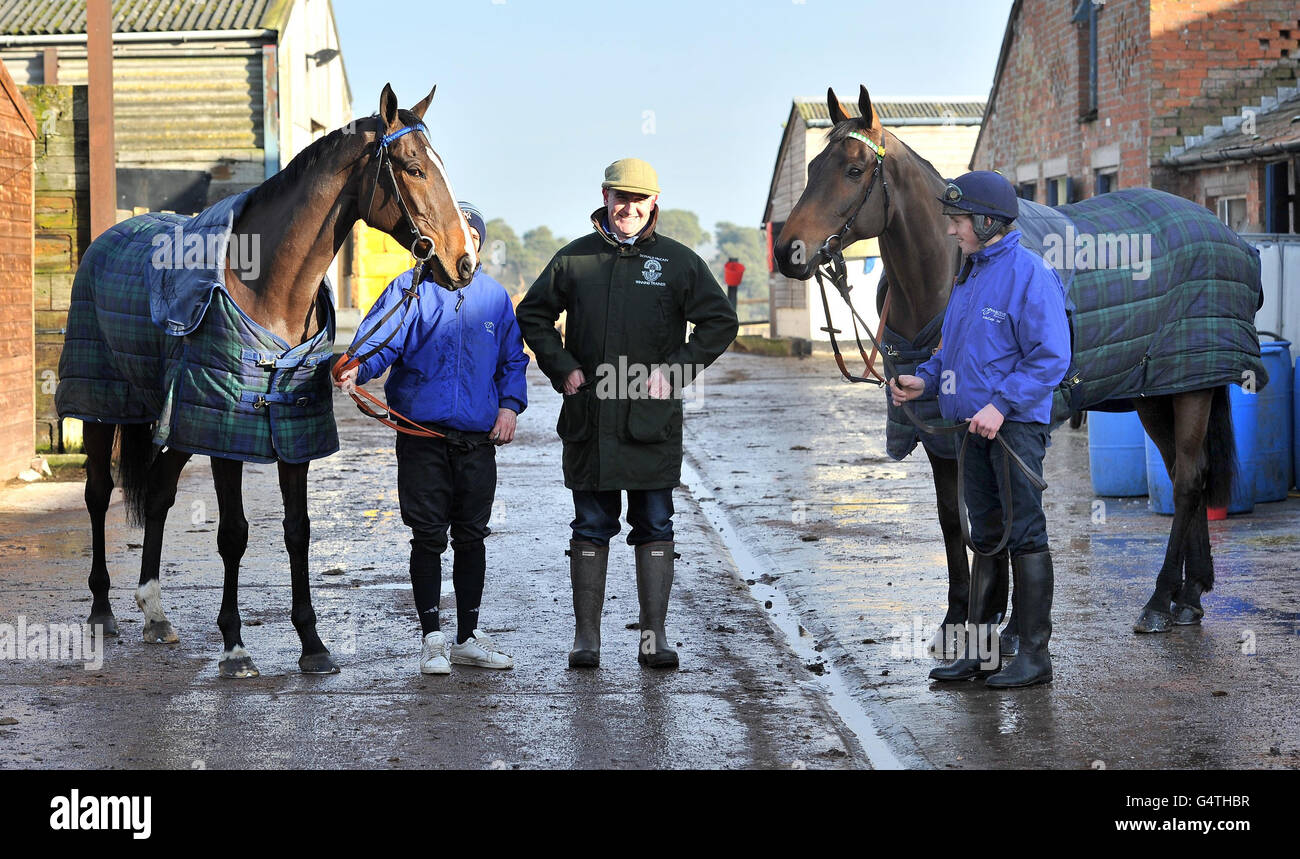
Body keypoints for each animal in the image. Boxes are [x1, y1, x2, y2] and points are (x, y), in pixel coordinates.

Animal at [59, 87, 478, 675]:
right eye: (415, 168)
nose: (465, 261)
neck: (265, 286)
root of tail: (106, 238)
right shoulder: (227, 436)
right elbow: (233, 534)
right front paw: (235, 646)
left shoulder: (290, 431)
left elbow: (298, 530)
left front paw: (313, 644)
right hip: (103, 405)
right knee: (98, 493)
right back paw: (102, 611)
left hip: (182, 422)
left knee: (160, 493)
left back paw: (156, 612)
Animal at [769, 85, 1258, 636]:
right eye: (812, 167)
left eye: (853, 170)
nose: (788, 251)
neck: (954, 274)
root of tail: (1222, 230)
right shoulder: (938, 431)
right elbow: (954, 519)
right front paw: (961, 614)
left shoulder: (994, 428)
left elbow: (1005, 517)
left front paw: (1005, 621)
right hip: (1155, 393)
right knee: (1182, 476)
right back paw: (1189, 595)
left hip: (1189, 388)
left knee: (1189, 481)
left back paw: (1160, 600)